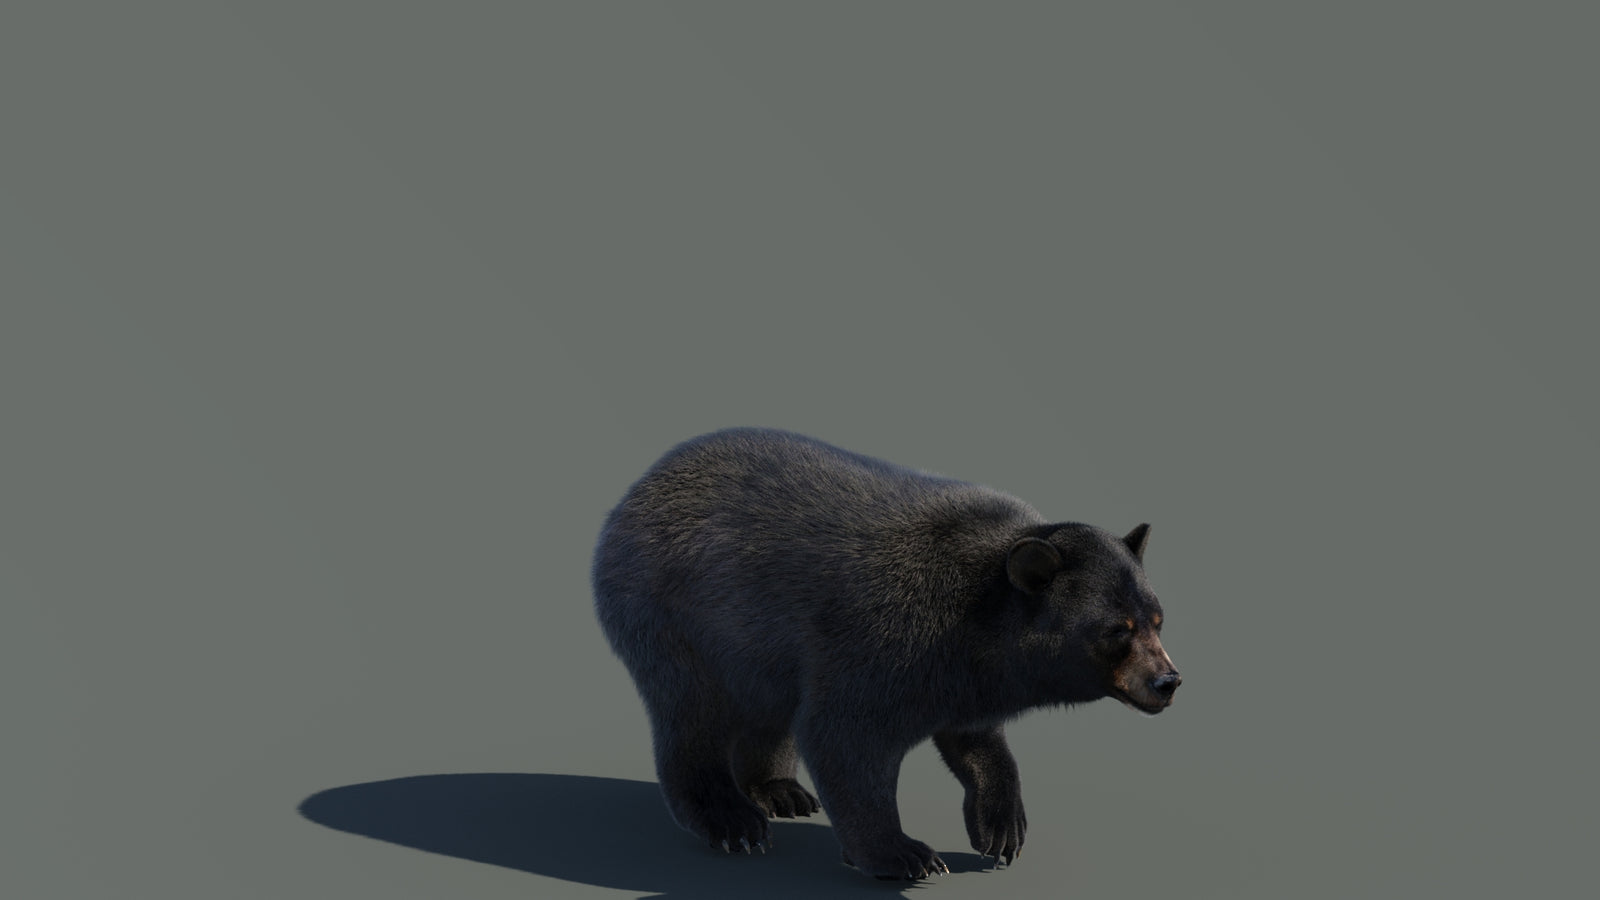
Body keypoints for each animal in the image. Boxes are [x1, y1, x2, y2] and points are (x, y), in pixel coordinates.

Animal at [591, 427, 1180, 880]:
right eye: (1116, 629)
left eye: (1157, 618)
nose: (1168, 682)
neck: (975, 618)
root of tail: (637, 488)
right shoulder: (883, 639)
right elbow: (845, 737)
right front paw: (904, 853)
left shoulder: (963, 676)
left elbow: (972, 736)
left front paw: (1001, 826)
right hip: (672, 616)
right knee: (693, 712)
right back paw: (731, 820)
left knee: (768, 708)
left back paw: (780, 791)